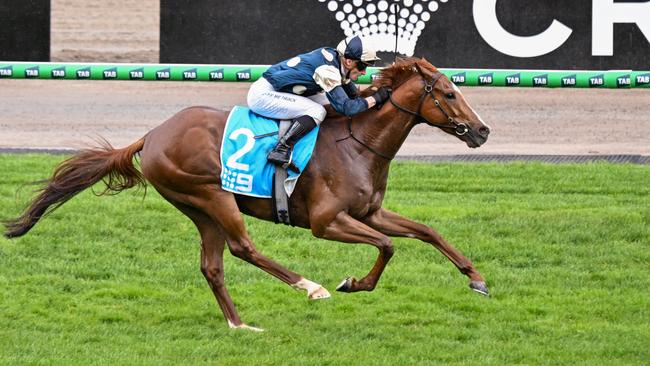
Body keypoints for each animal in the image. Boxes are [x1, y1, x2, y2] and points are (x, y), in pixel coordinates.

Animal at [3, 58, 492, 332]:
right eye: (449, 93)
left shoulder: (369, 212)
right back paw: (310, 287)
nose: (483, 131)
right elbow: (388, 246)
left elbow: (426, 231)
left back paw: (239, 325)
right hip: (211, 196)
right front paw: (353, 283)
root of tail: (152, 134)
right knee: (243, 248)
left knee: (212, 265)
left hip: (200, 208)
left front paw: (476, 278)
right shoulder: (326, 222)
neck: (358, 141)